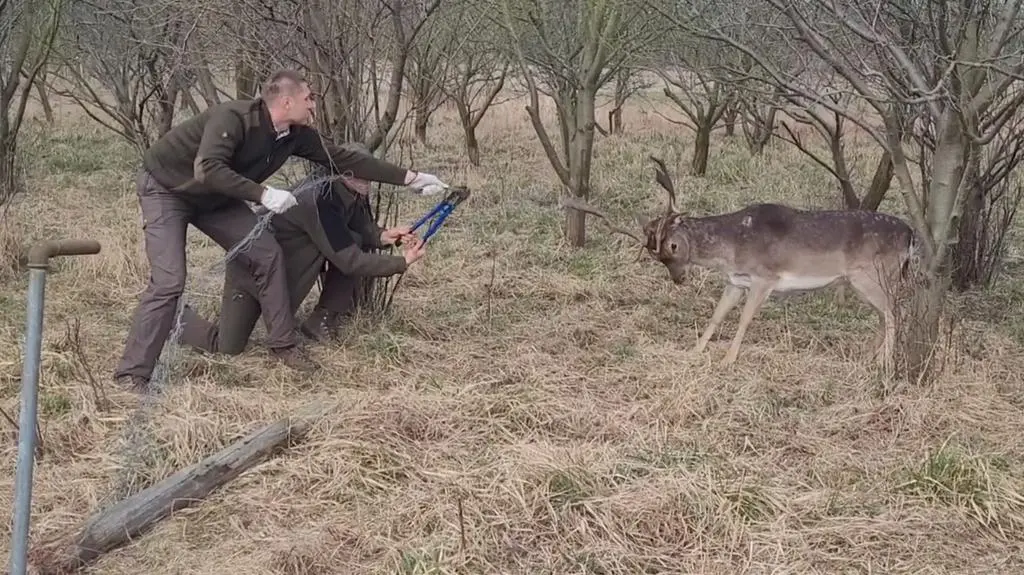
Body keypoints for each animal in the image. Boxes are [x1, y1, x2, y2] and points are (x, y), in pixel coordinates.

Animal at [562, 156, 921, 371]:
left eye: (673, 246)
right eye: (655, 256)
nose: (679, 279)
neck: (733, 248)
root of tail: (911, 234)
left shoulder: (765, 277)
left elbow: (745, 320)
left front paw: (728, 359)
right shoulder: (735, 281)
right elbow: (717, 316)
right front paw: (695, 350)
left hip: (874, 274)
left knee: (894, 312)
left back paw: (883, 362)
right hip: (864, 281)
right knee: (885, 314)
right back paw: (871, 356)